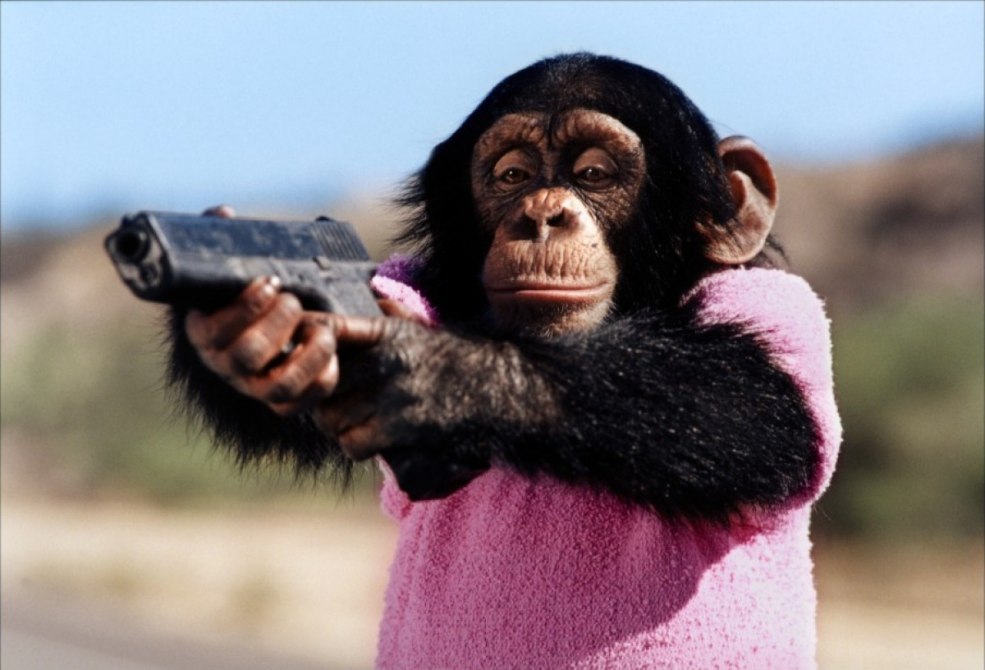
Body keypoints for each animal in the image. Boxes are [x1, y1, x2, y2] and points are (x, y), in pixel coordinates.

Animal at [170, 53, 841, 668]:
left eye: (594, 172)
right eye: (512, 173)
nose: (542, 213)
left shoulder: (783, 308)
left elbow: (747, 403)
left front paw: (437, 377)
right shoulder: (409, 285)